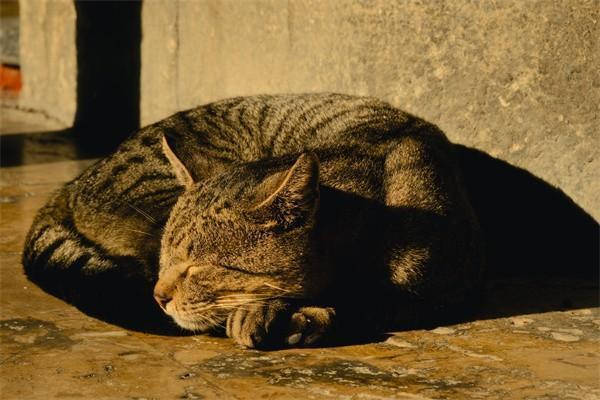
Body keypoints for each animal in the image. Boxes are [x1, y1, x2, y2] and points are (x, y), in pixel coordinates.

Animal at [22, 93, 482, 346]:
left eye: (198, 267)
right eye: (167, 260)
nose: (159, 296)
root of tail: (68, 186)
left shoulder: (444, 292)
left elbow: (369, 302)